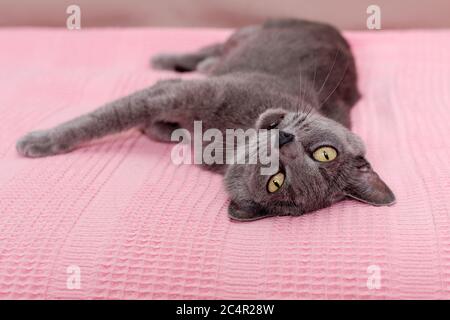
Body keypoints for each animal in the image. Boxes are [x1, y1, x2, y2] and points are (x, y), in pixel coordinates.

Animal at [15, 18, 394, 221]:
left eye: (277, 182)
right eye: (325, 153)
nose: (283, 140)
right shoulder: (185, 92)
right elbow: (106, 117)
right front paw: (41, 140)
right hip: (249, 34)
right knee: (212, 46)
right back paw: (170, 57)